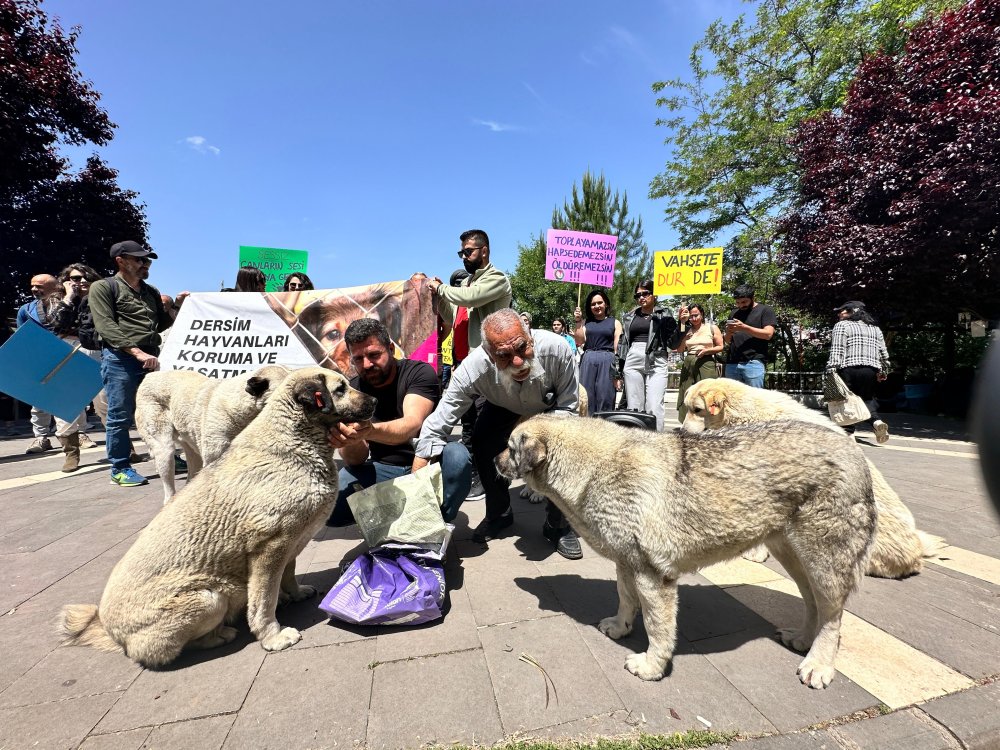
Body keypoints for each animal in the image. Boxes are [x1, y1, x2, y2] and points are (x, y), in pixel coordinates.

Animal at [500, 414, 876, 692]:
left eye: (509, 448)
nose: (492, 458)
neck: (592, 470)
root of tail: (857, 454)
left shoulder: (653, 576)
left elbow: (657, 627)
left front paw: (652, 666)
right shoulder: (627, 564)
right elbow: (625, 599)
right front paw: (620, 627)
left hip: (824, 563)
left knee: (833, 617)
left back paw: (819, 663)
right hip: (794, 556)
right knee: (812, 603)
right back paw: (801, 639)